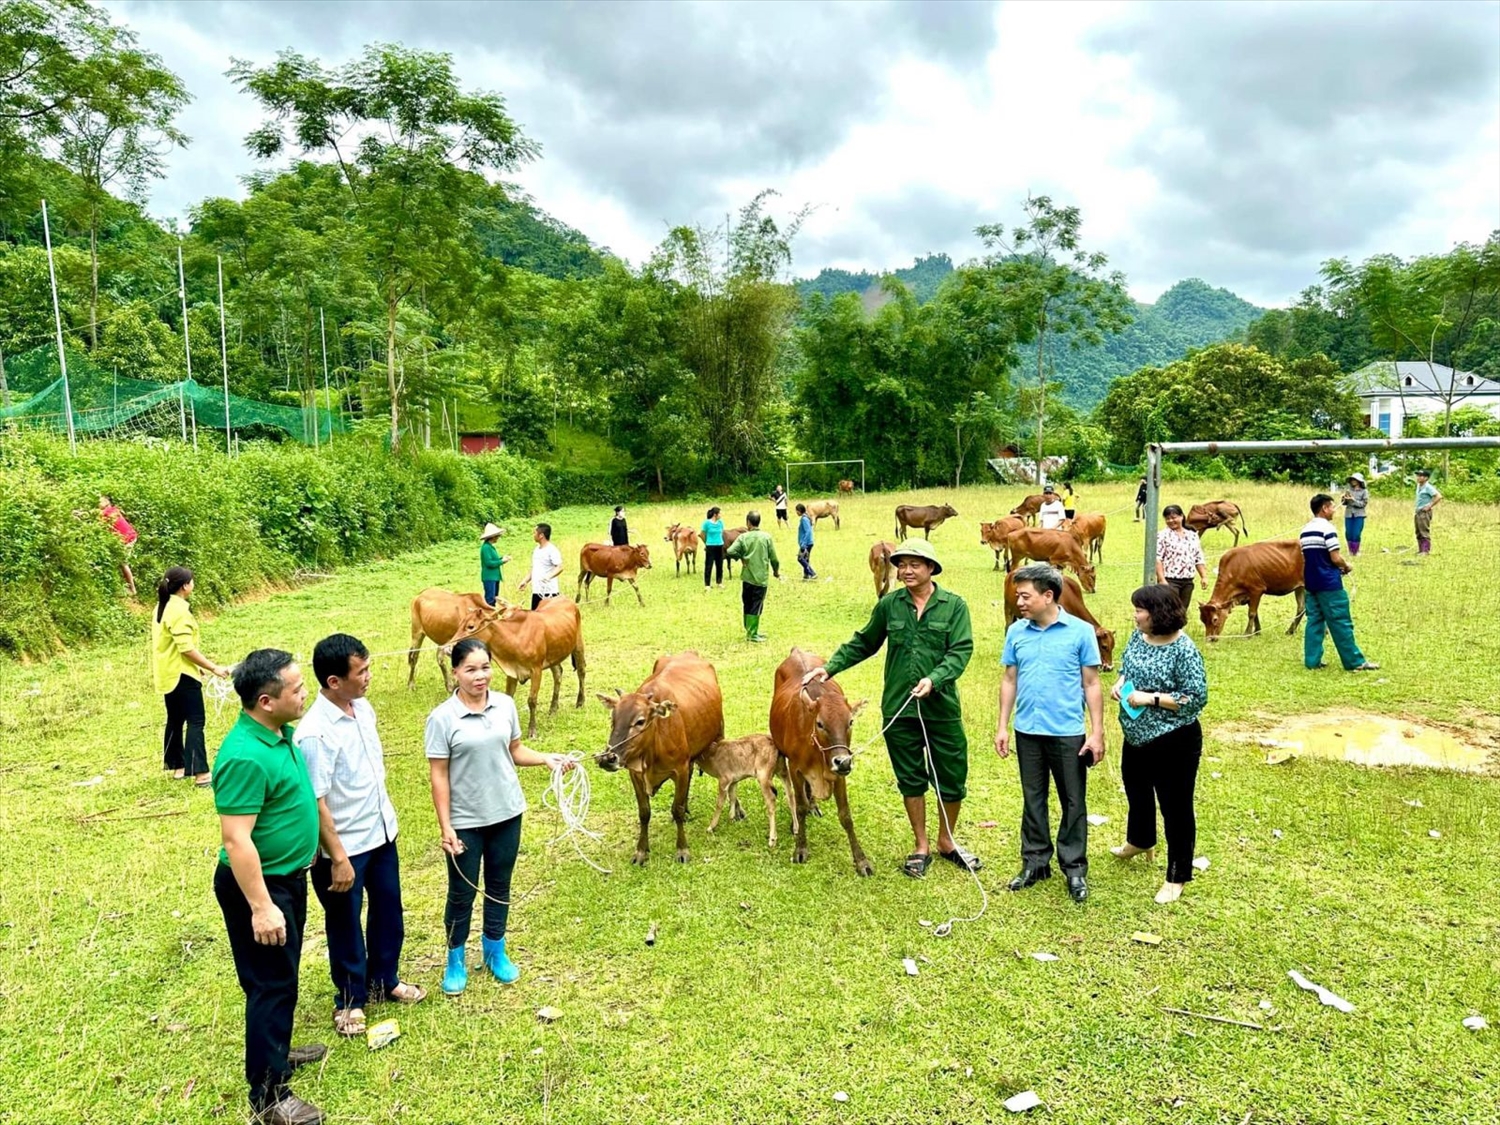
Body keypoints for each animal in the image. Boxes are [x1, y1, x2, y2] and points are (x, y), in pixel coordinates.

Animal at [450, 600, 585, 741]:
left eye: (470, 626)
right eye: (460, 624)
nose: (451, 646)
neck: (515, 639)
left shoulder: (536, 669)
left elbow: (532, 700)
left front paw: (532, 731)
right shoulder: (512, 673)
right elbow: (508, 696)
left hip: (578, 644)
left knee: (581, 671)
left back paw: (580, 702)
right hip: (554, 655)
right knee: (558, 674)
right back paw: (553, 709)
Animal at [591, 651, 720, 864]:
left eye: (640, 721)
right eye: (613, 719)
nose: (607, 758)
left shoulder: (680, 769)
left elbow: (676, 809)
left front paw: (682, 849)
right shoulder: (635, 774)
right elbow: (644, 812)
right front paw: (641, 851)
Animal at [768, 648, 876, 876]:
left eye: (850, 721)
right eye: (820, 723)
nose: (843, 762)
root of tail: (797, 650)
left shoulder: (839, 774)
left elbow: (845, 816)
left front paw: (861, 861)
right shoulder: (795, 768)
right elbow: (799, 807)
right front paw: (800, 848)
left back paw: (814, 805)